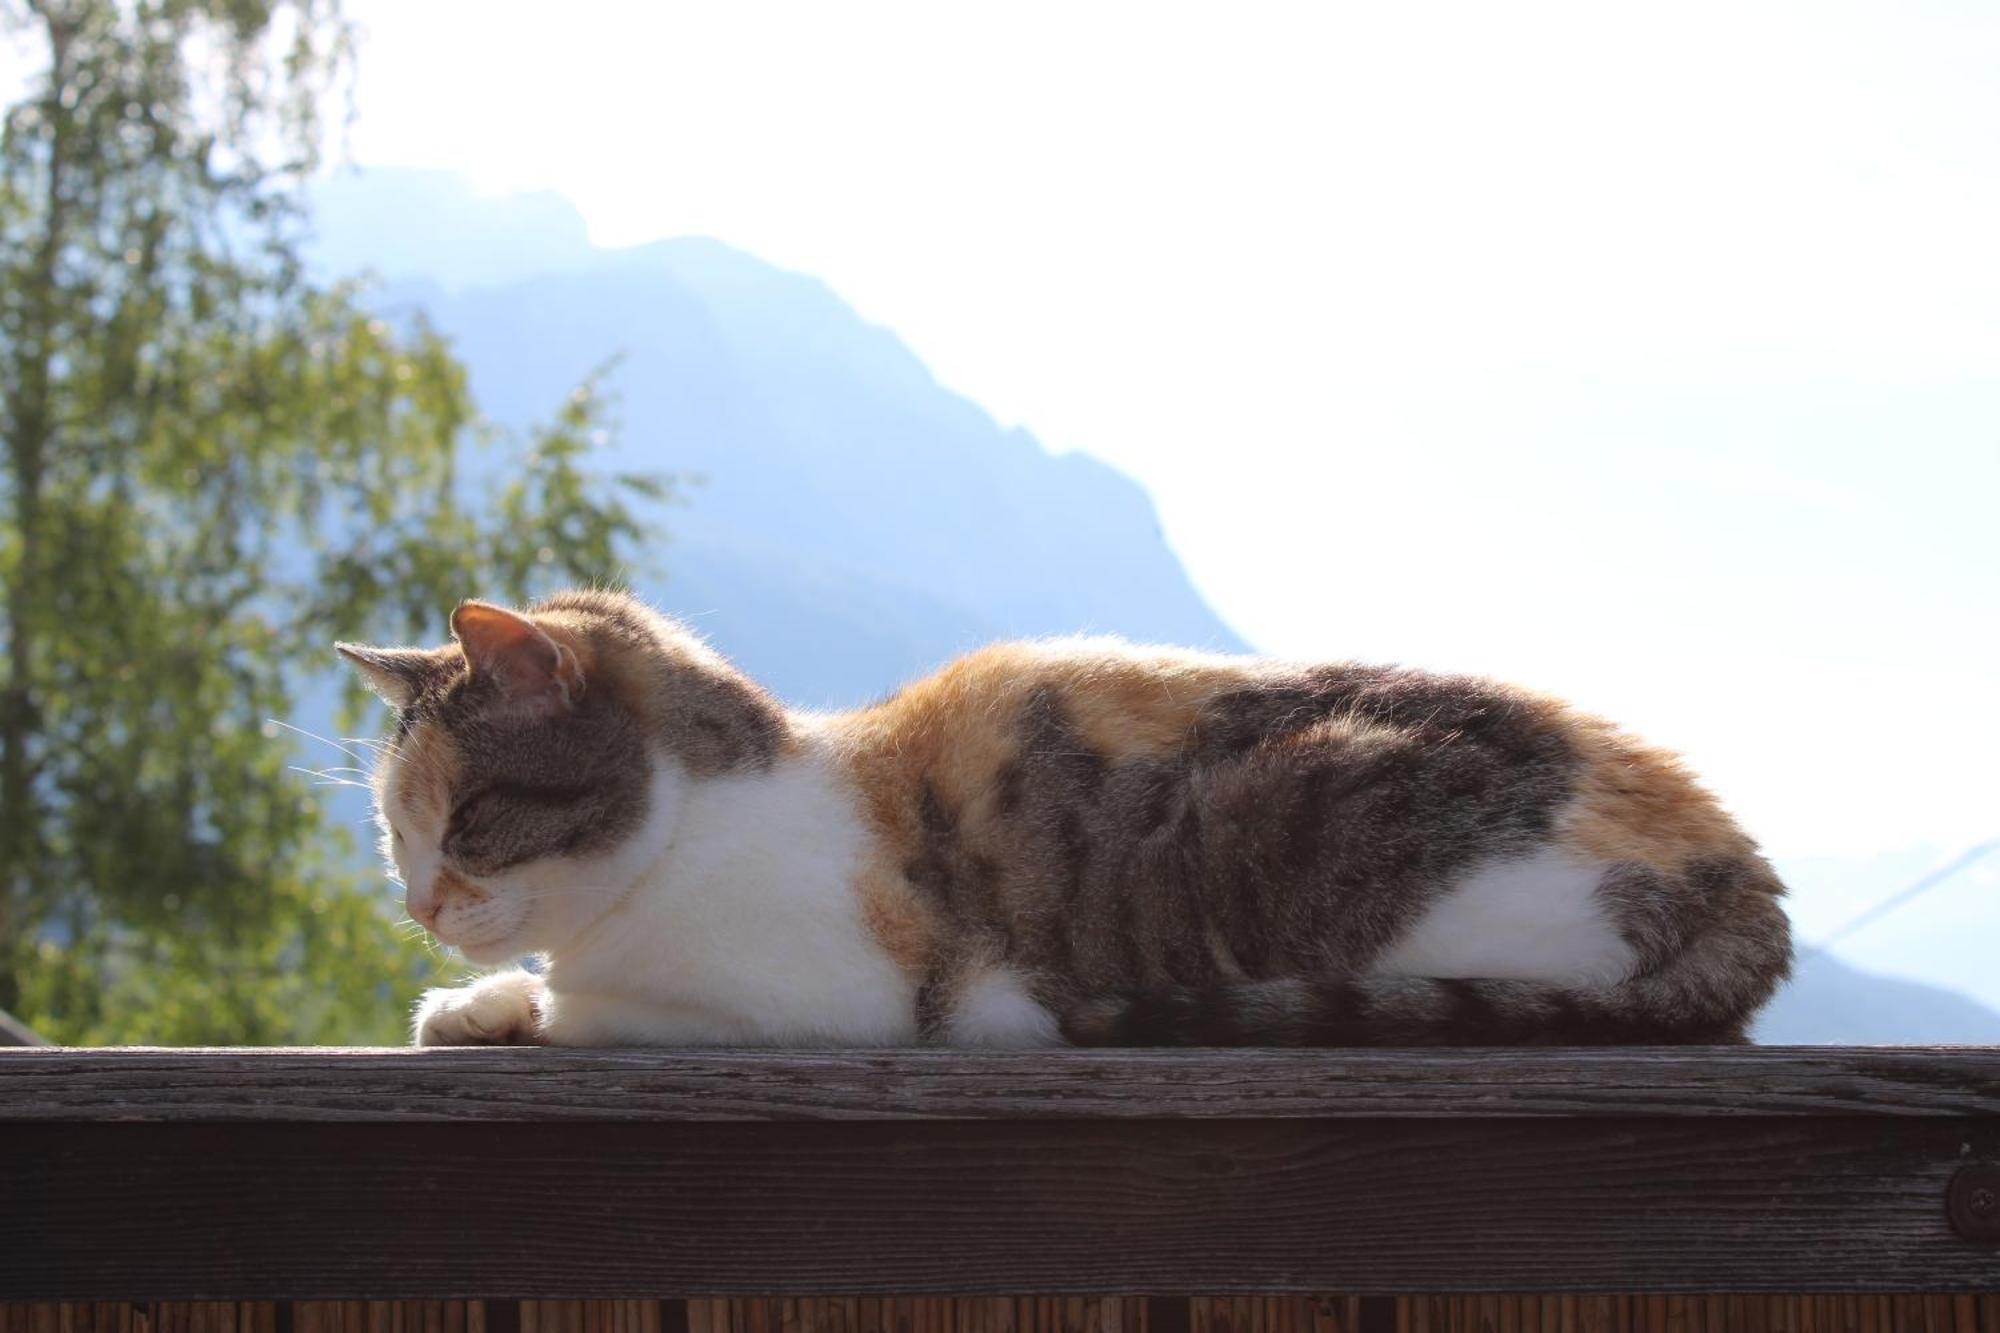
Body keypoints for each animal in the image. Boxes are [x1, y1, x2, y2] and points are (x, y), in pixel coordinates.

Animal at [336, 588, 1792, 1040]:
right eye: (395, 837)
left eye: (466, 820)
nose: (418, 904)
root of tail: (1731, 858)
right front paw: (476, 1000)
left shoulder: (833, 993)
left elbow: (601, 1012)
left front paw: (510, 1003)